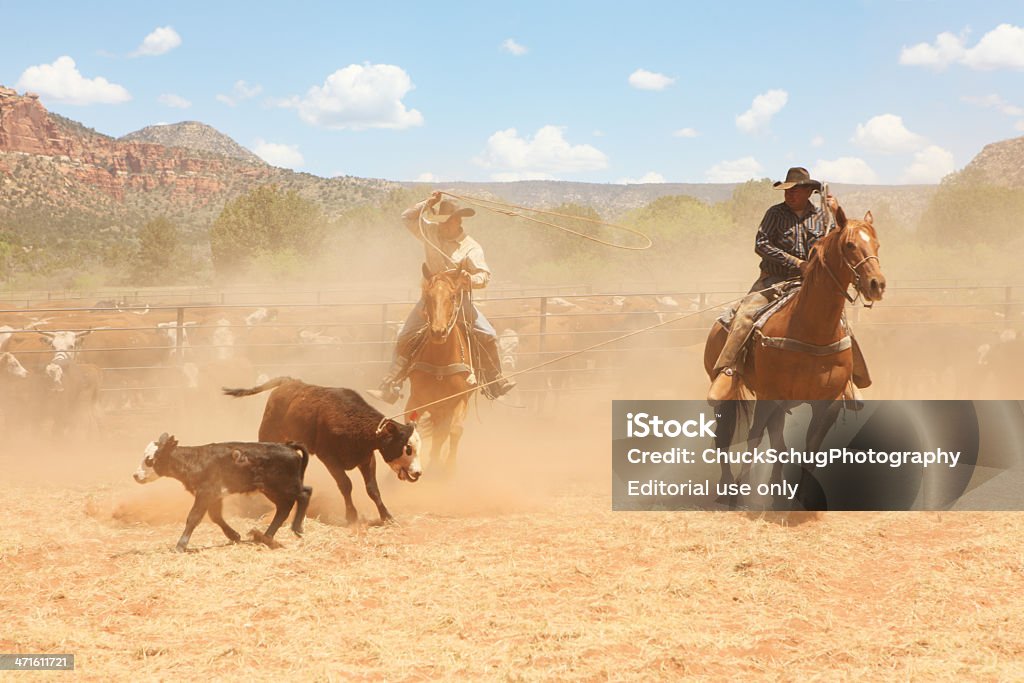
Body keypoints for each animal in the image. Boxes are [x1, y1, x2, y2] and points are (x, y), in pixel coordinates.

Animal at [136, 436, 311, 552]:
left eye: (149, 460)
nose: (135, 475)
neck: (194, 460)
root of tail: (288, 446)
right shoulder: (214, 496)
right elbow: (216, 516)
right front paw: (234, 535)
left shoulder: (205, 493)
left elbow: (193, 517)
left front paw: (180, 545)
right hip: (271, 489)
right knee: (284, 508)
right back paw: (266, 536)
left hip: (285, 486)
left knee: (304, 494)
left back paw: (296, 528)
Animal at [403, 266, 475, 475]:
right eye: (428, 296)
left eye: (452, 296)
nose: (438, 332)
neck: (441, 360)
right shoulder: (417, 399)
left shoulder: (460, 399)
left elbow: (455, 430)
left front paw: (449, 468)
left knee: (442, 433)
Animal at [704, 208, 888, 507]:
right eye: (850, 245)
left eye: (877, 244)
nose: (877, 284)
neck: (811, 330)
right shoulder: (768, 396)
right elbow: (754, 438)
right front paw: (741, 496)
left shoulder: (828, 403)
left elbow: (809, 449)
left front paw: (800, 500)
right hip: (725, 391)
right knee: (724, 437)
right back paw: (727, 488)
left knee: (778, 442)